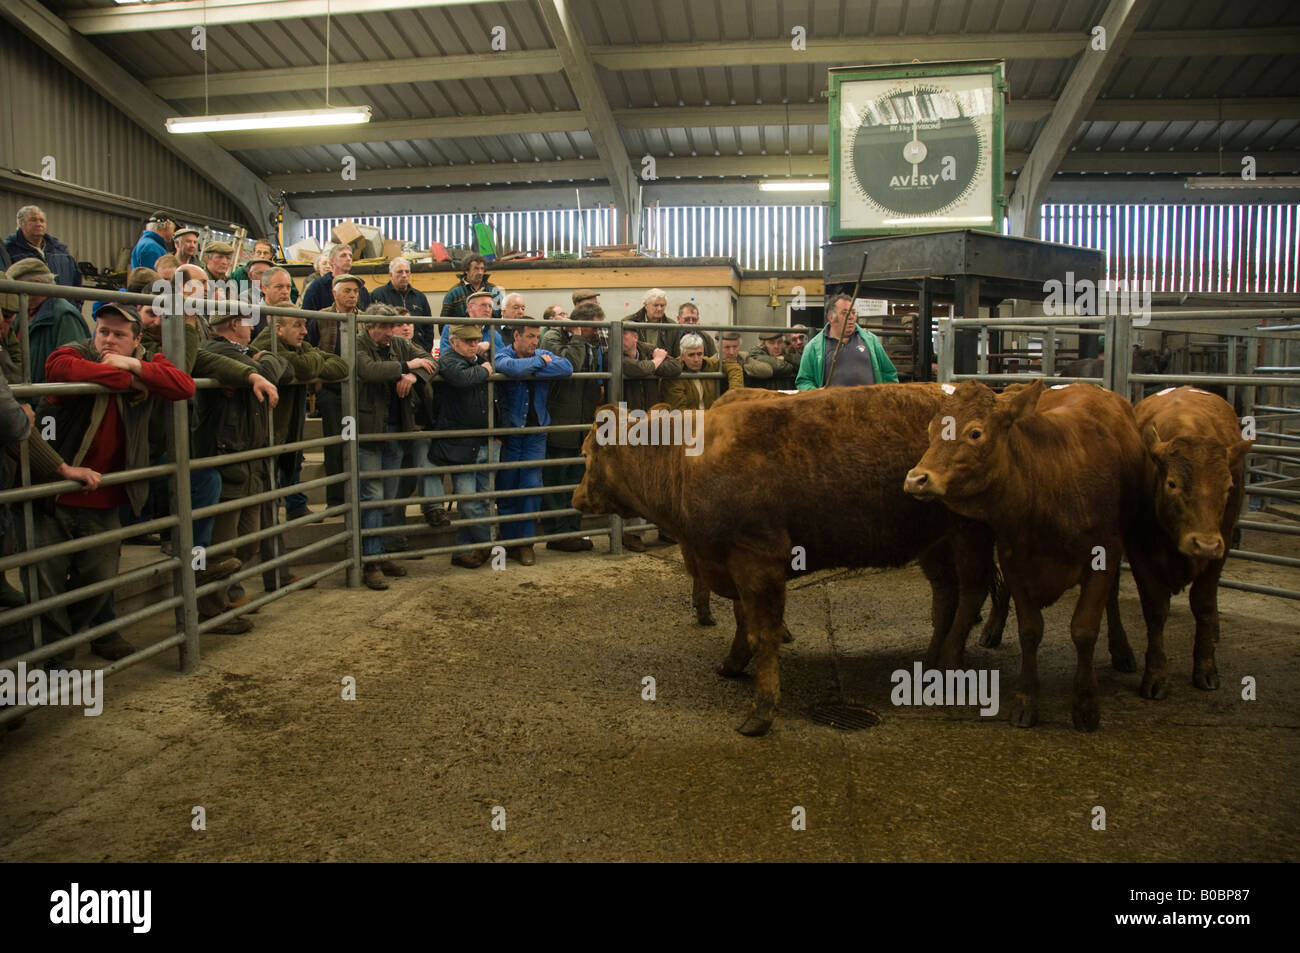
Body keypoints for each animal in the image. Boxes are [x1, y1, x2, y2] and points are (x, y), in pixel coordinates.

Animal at [573, 383, 995, 736]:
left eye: (586, 453)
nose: (576, 497)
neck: (685, 461)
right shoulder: (732, 564)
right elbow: (743, 619)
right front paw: (733, 663)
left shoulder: (758, 558)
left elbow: (763, 632)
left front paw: (761, 710)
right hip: (935, 542)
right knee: (946, 595)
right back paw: (931, 660)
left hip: (969, 532)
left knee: (973, 590)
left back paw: (950, 664)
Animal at [903, 380, 1145, 731]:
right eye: (932, 430)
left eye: (975, 433)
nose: (916, 479)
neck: (1049, 482)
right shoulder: (1014, 560)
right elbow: (1030, 630)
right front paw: (1025, 701)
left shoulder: (1105, 555)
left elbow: (1085, 630)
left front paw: (1086, 705)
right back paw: (991, 629)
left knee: (1111, 599)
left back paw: (1122, 650)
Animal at [1124, 386, 1252, 699]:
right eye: (1172, 484)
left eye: (1228, 487)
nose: (1203, 545)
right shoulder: (1138, 549)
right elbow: (1155, 609)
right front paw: (1156, 675)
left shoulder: (1222, 543)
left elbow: (1203, 604)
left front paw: (1206, 668)